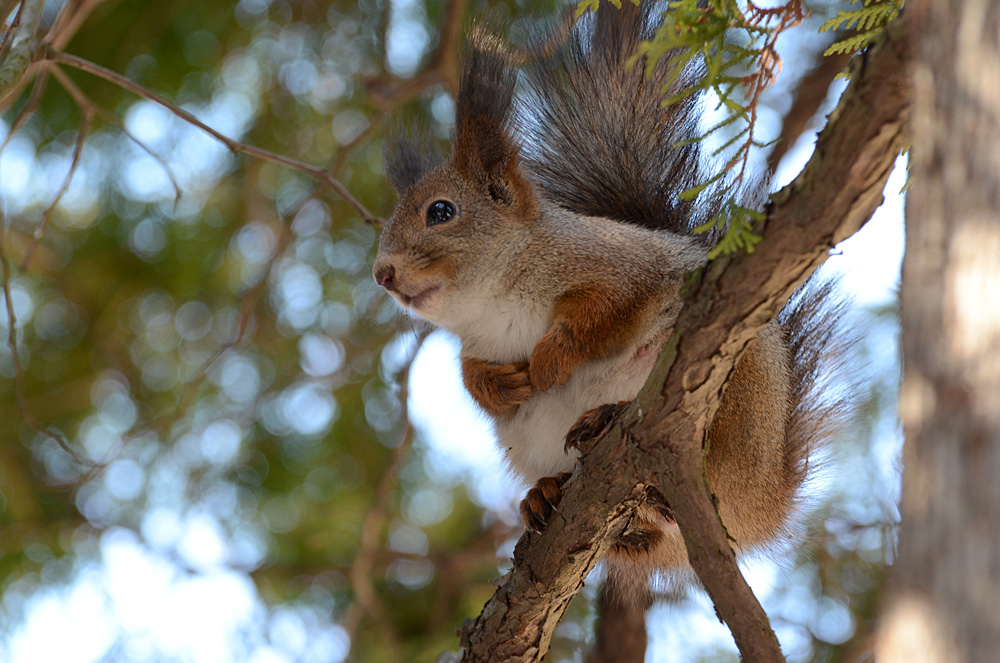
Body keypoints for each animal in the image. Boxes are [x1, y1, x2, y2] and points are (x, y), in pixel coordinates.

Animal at [372, 3, 848, 588]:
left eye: (441, 211)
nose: (382, 273)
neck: (494, 300)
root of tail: (759, 510)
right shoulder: (476, 343)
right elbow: (472, 377)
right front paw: (502, 385)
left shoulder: (619, 268)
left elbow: (602, 318)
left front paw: (550, 360)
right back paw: (549, 495)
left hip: (739, 387)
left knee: (715, 452)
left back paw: (617, 424)